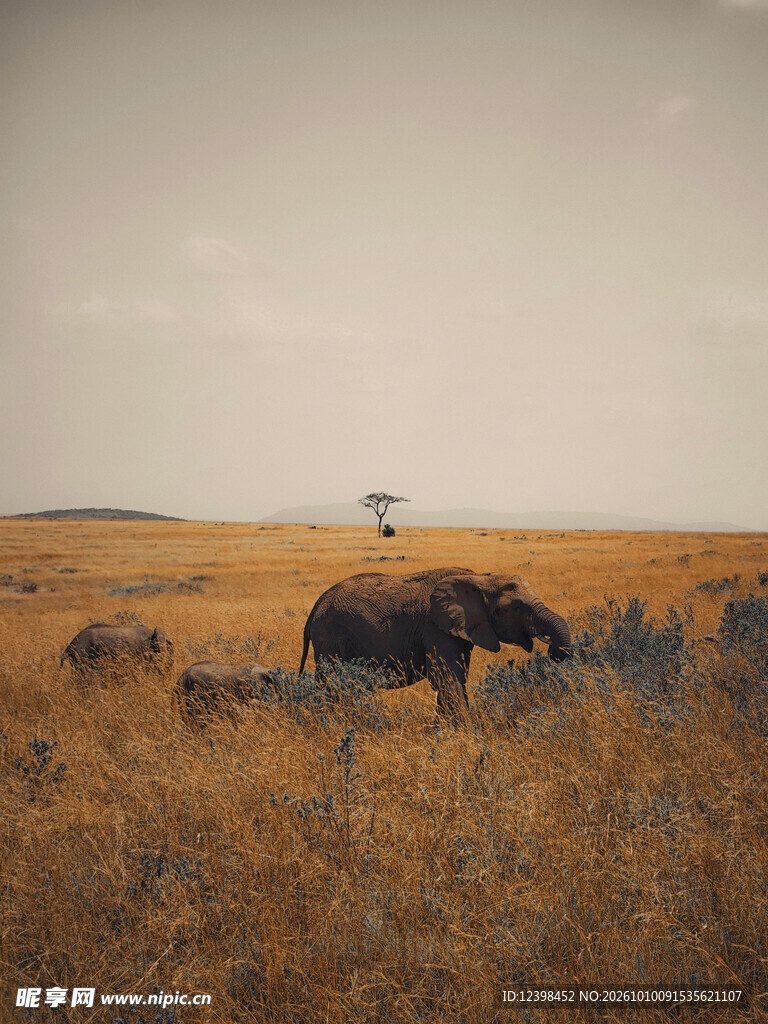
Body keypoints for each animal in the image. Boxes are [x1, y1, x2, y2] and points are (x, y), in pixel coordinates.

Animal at [299, 567, 572, 720]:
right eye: (514, 608)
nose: (553, 650)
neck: (479, 578)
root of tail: (316, 606)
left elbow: (456, 679)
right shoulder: (435, 627)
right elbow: (447, 678)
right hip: (331, 637)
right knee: (335, 685)